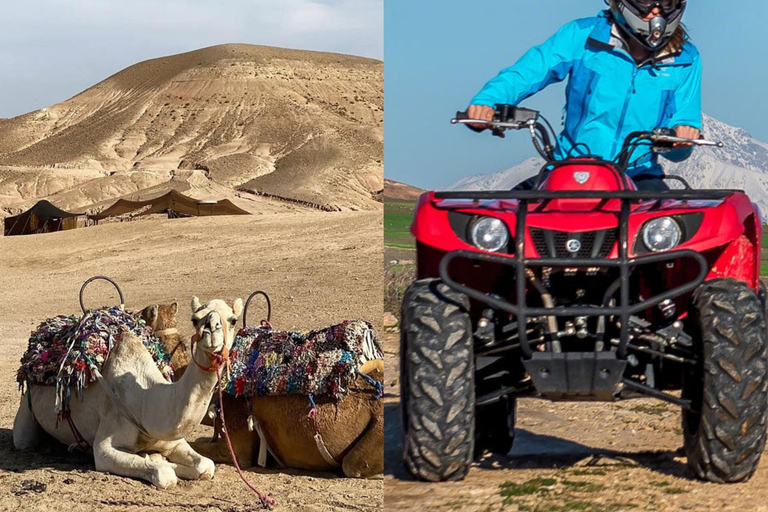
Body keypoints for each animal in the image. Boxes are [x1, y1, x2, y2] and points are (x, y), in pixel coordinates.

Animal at [13, 296, 242, 488]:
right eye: (195, 319)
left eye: (232, 320)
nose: (211, 330)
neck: (146, 401)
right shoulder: (104, 448)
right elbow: (165, 475)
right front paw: (158, 461)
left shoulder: (173, 441)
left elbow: (206, 466)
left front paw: (158, 457)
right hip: (26, 413)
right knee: (24, 440)